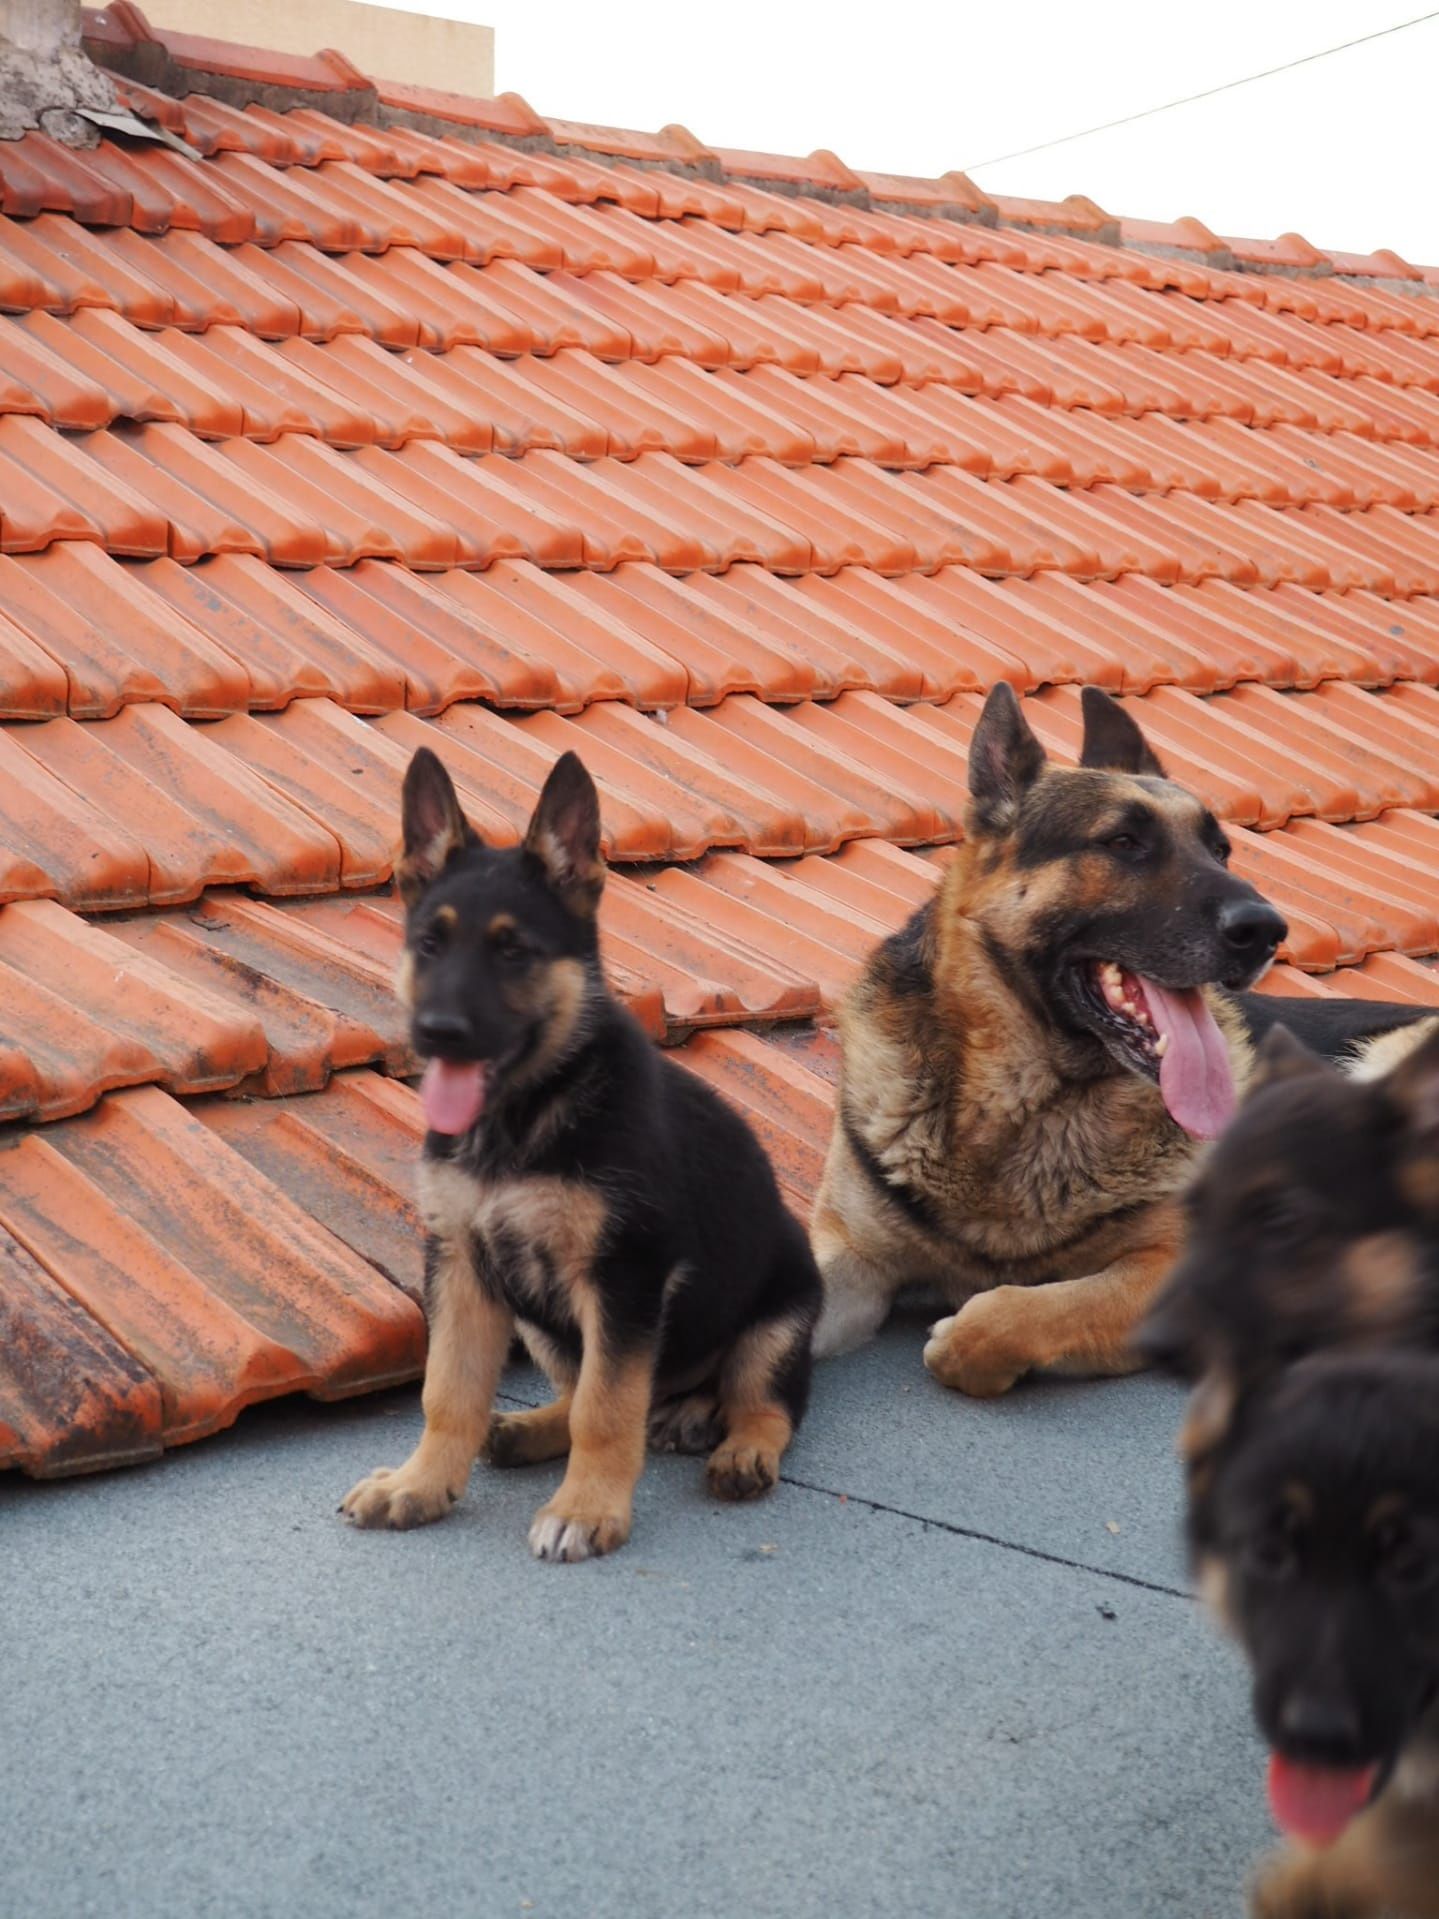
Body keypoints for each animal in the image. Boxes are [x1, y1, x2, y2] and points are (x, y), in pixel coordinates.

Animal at [339, 744, 828, 1558]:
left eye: (513, 951)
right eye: (430, 944)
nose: (436, 1033)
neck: (524, 1113)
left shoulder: (624, 1277)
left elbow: (606, 1408)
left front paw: (587, 1508)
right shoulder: (461, 1264)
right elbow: (449, 1391)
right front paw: (419, 1484)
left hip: (781, 1315)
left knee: (762, 1399)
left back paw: (733, 1443)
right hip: (540, 1322)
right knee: (579, 1395)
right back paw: (534, 1430)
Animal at [817, 687, 1427, 1397]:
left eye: (1220, 851)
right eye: (1124, 842)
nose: (1268, 931)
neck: (1026, 1107)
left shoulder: (1171, 1265)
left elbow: (1014, 1315)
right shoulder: (849, 1254)